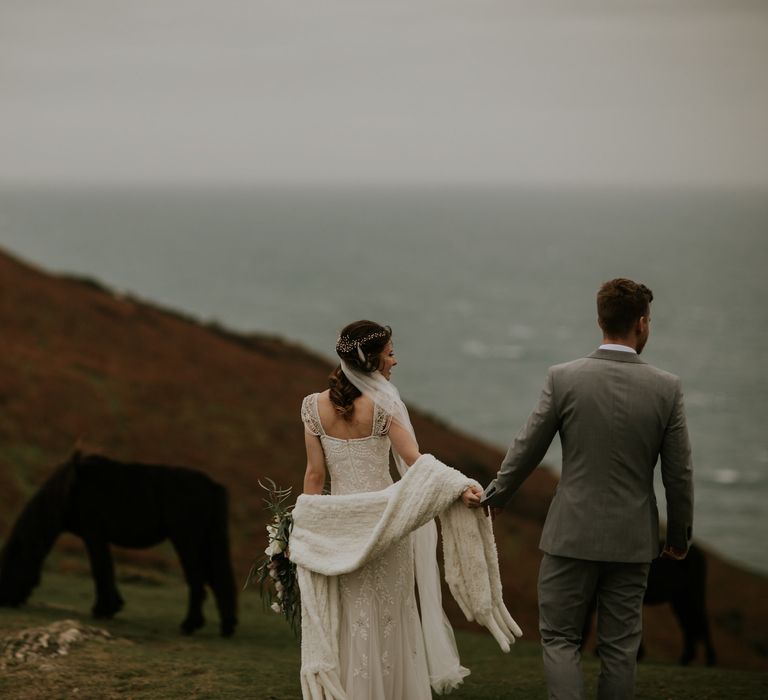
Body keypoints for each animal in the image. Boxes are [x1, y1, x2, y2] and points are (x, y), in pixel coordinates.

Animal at [0, 452, 237, 636]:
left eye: (11, 563)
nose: (5, 601)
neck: (71, 490)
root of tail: (212, 486)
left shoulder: (94, 536)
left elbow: (100, 570)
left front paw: (102, 609)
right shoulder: (99, 538)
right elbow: (107, 570)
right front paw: (112, 606)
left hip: (187, 540)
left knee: (197, 580)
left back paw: (190, 625)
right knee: (217, 580)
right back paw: (226, 626)